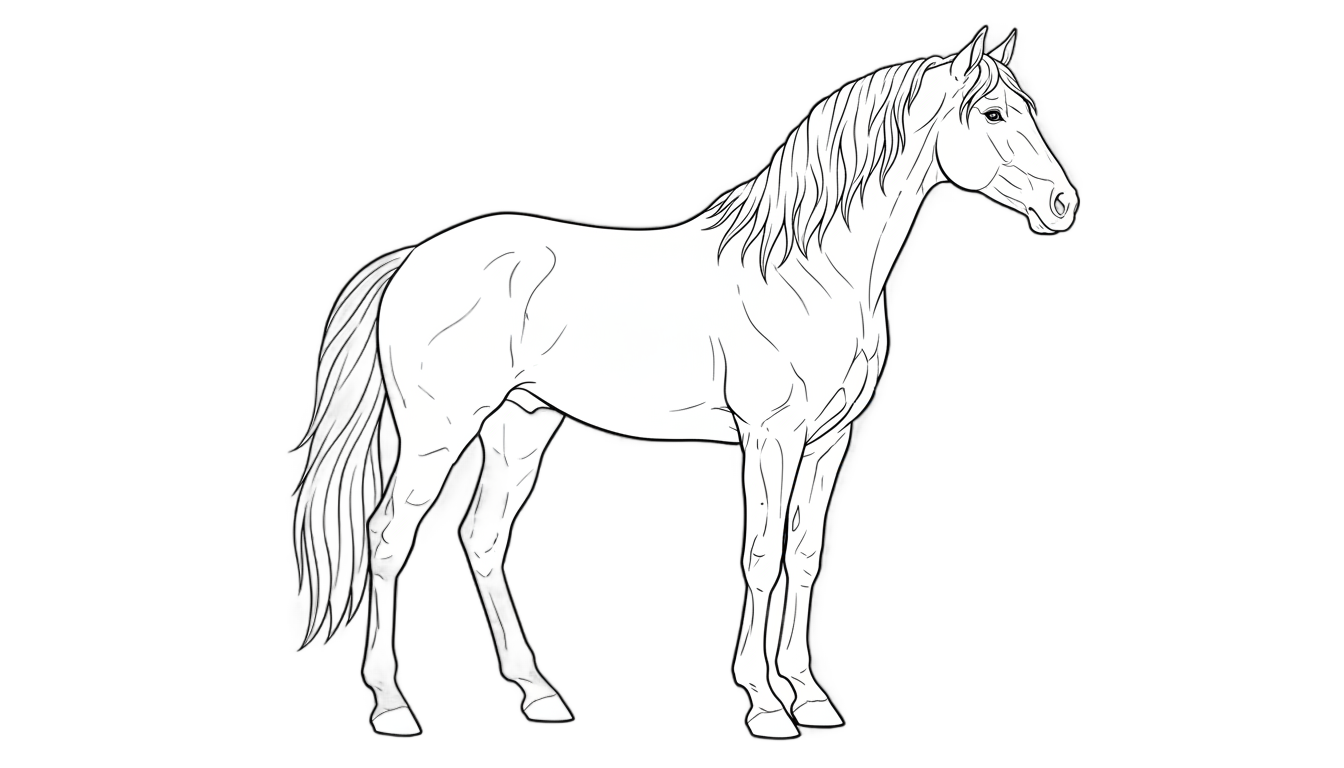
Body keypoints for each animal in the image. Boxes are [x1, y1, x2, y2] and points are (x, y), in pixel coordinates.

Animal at [291, 27, 1078, 740]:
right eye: (993, 114)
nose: (1064, 206)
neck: (805, 271)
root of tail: (415, 256)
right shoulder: (771, 438)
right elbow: (761, 558)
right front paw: (765, 706)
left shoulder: (829, 441)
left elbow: (804, 555)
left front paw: (811, 698)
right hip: (439, 431)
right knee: (389, 536)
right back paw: (392, 706)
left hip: (521, 425)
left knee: (483, 536)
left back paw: (539, 693)